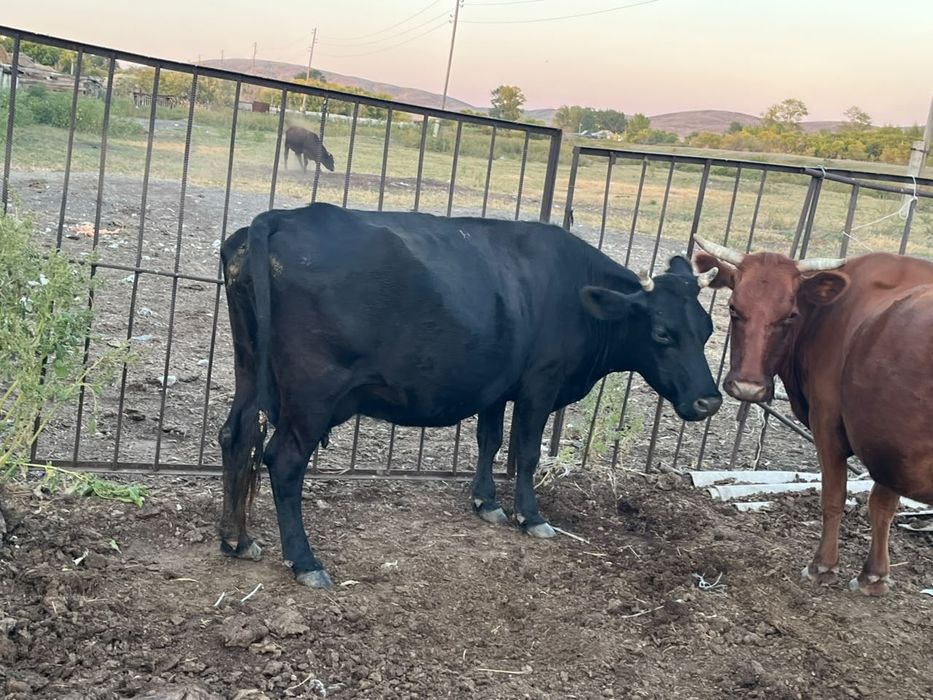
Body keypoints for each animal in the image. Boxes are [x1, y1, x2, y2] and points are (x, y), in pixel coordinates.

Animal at [218, 203, 724, 589]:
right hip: (313, 394)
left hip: (249, 366)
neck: (574, 292)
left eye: (708, 329)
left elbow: (490, 440)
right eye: (662, 333)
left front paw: (487, 503)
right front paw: (531, 517)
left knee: (235, 435)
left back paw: (236, 540)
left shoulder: (497, 385)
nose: (709, 401)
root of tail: (282, 217)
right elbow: (526, 452)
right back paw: (305, 562)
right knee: (283, 461)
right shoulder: (540, 383)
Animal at [693, 237, 933, 596]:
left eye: (790, 315)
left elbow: (834, 496)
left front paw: (823, 566)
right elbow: (882, 507)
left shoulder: (829, 422)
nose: (748, 387)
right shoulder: (887, 441)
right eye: (734, 308)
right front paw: (875, 576)